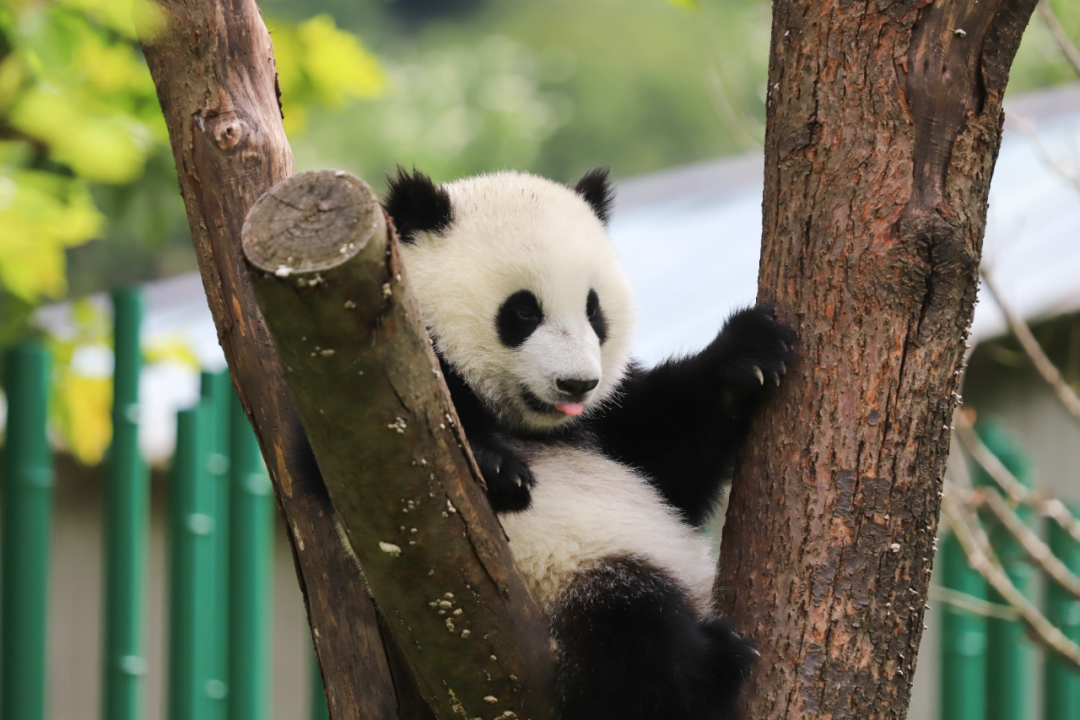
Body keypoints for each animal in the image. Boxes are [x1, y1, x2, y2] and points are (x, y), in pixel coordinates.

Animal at [383, 166, 794, 720]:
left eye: (594, 310)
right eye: (522, 312)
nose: (576, 384)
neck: (527, 421)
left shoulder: (610, 421)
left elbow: (671, 454)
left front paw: (747, 354)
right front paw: (499, 470)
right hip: (568, 577)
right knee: (629, 631)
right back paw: (716, 667)